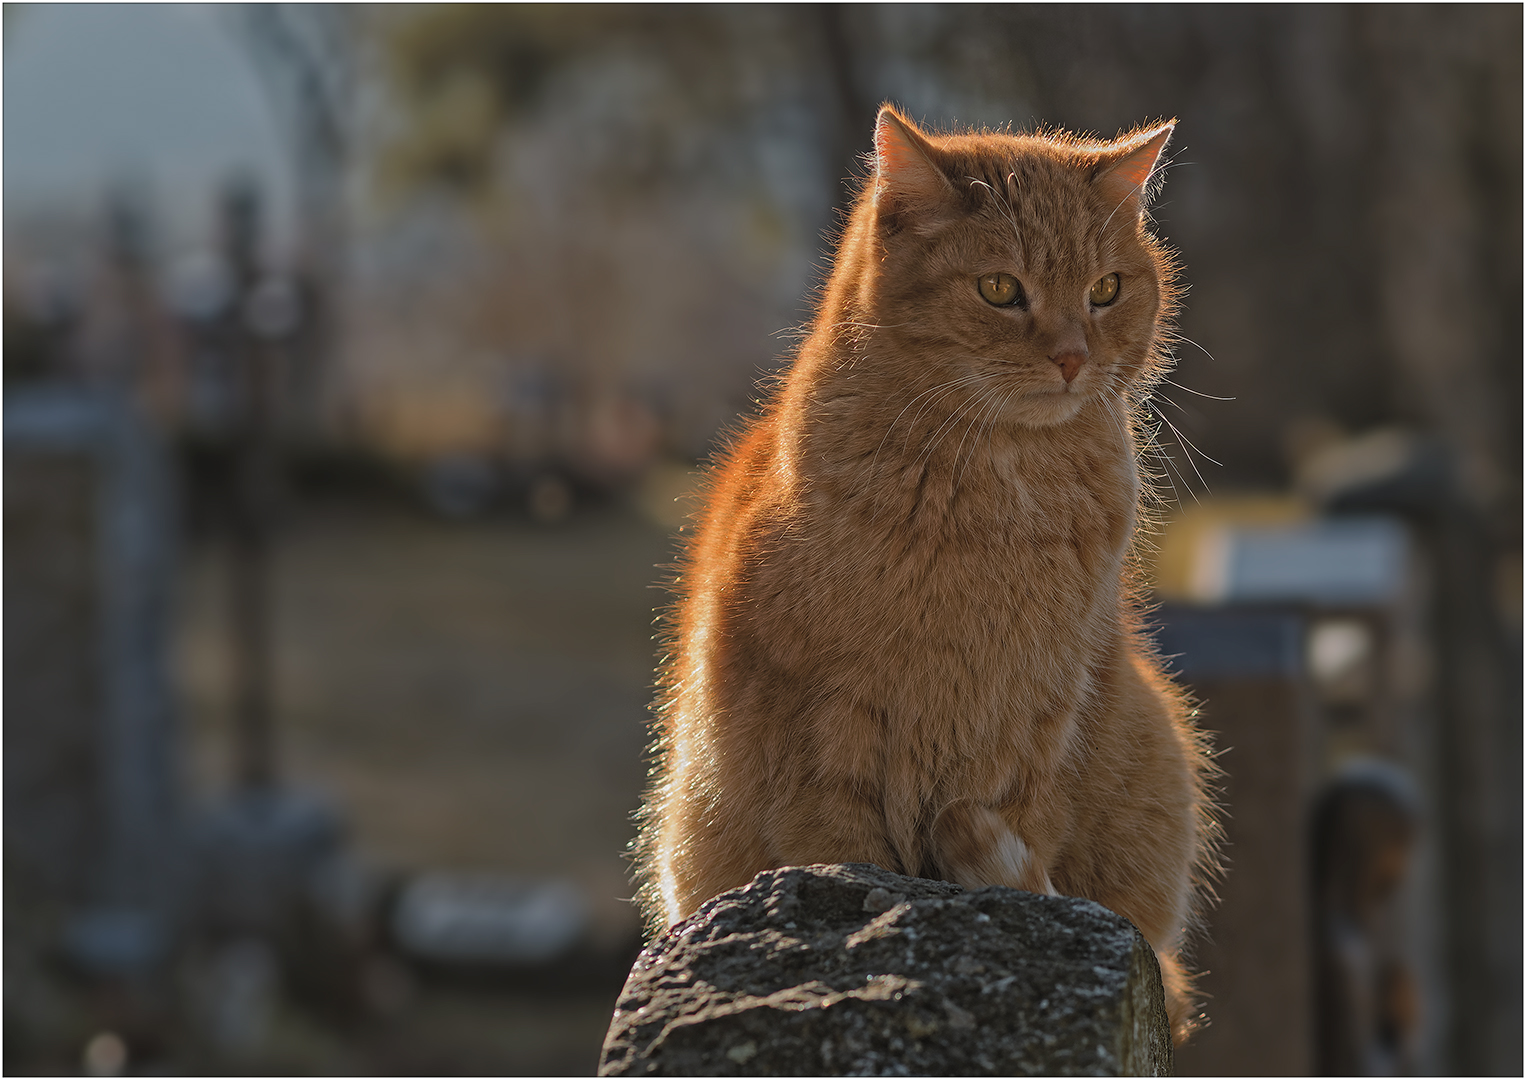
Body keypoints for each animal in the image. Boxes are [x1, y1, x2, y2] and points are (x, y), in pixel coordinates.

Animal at [637, 107, 1220, 1037]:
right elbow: (849, 863)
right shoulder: (826, 733)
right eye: (1000, 290)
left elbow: (1012, 832)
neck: (997, 503)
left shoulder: (1033, 729)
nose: (1071, 357)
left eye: (1105, 290)